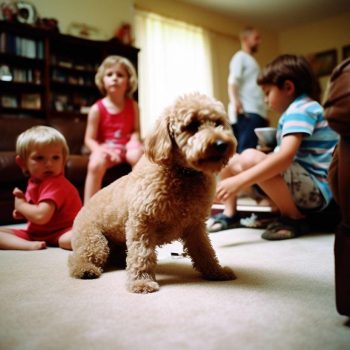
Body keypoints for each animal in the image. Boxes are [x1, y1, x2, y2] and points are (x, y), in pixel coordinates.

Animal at [67, 93, 238, 292]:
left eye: (218, 123)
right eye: (192, 126)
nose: (221, 144)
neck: (183, 174)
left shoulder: (195, 226)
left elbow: (206, 252)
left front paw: (217, 272)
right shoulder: (142, 223)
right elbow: (142, 254)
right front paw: (141, 282)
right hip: (95, 242)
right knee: (76, 258)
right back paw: (85, 270)